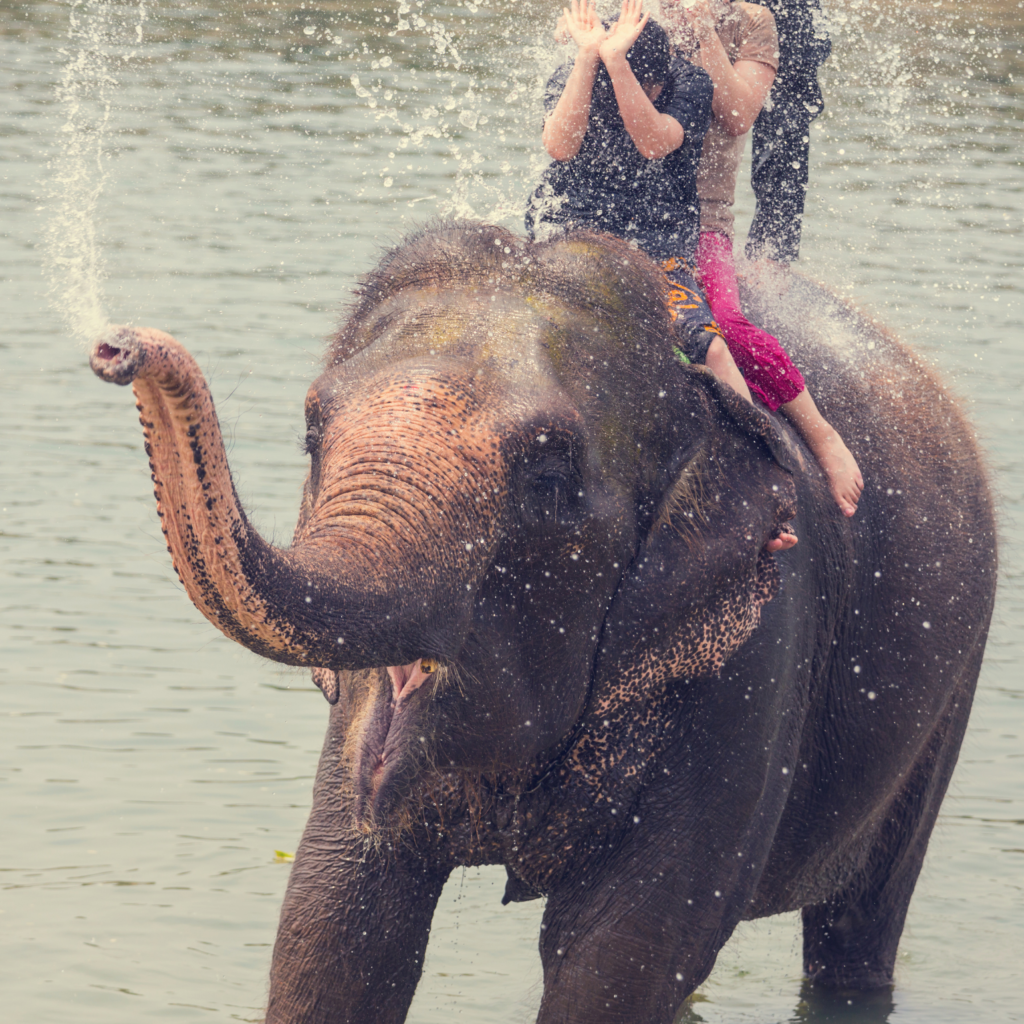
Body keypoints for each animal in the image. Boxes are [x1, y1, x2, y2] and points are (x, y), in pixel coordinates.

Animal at [92, 224, 995, 1024]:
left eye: (550, 476)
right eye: (313, 432)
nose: (116, 348)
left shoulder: (762, 647)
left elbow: (624, 951)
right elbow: (335, 923)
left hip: (949, 691)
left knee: (860, 924)